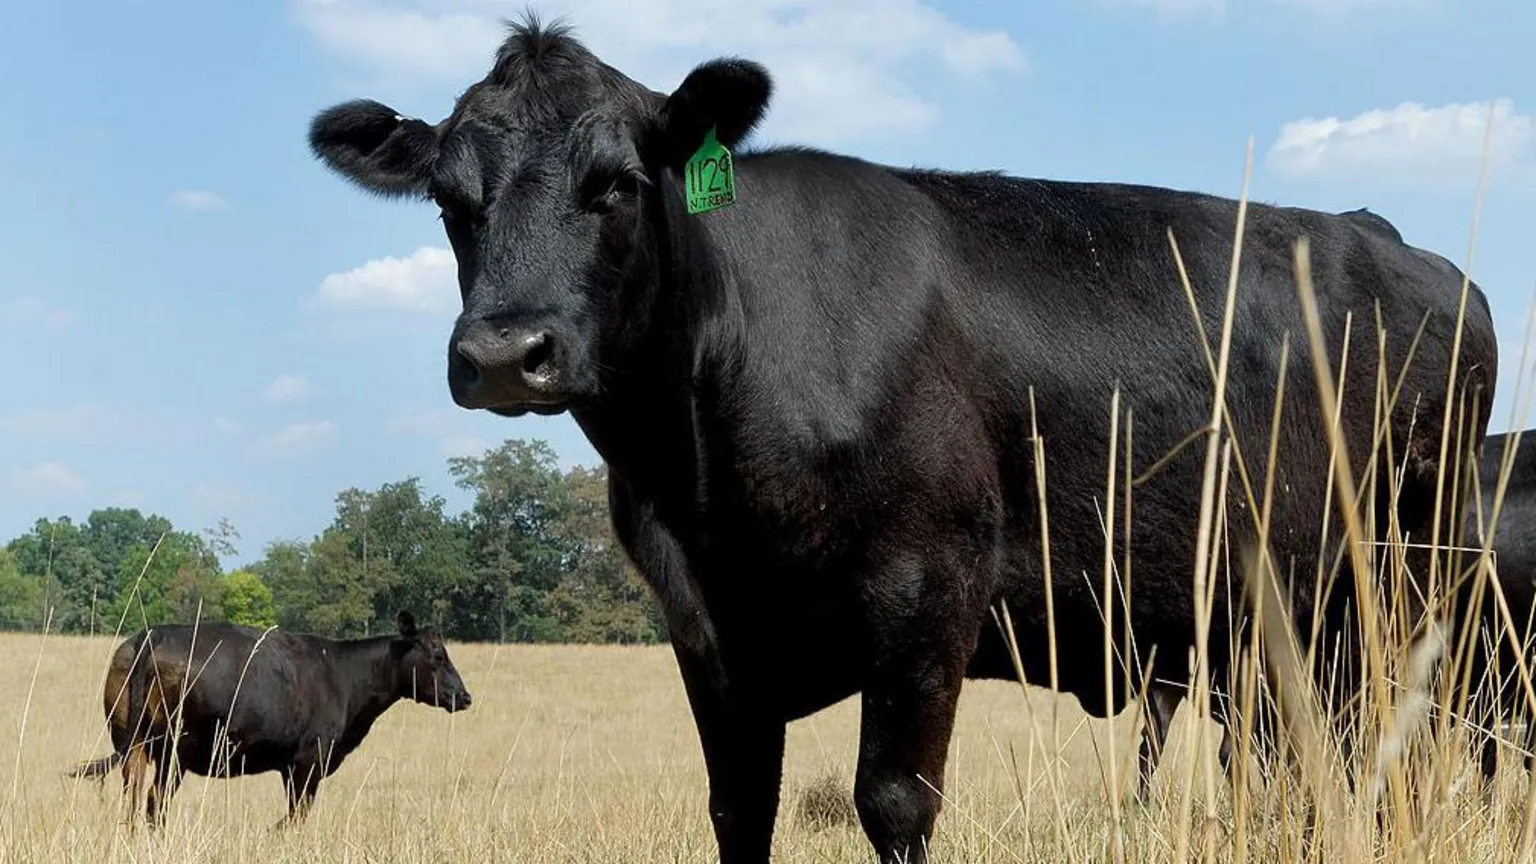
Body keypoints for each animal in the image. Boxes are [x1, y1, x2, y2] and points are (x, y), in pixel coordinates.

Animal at [69, 610, 472, 827]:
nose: (465, 696)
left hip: (132, 743)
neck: (344, 676)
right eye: (438, 656)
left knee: (134, 795)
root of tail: (153, 635)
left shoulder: (290, 765)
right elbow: (295, 816)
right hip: (174, 750)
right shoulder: (308, 760)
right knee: (156, 802)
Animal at [304, 16, 1496, 863]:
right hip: (1274, 618)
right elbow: (739, 808)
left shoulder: (931, 590)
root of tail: (1395, 243)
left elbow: (894, 803)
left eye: (618, 186)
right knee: (1295, 756)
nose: (506, 354)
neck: (705, 475)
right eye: (451, 202)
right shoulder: (706, 630)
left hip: (1409, 579)